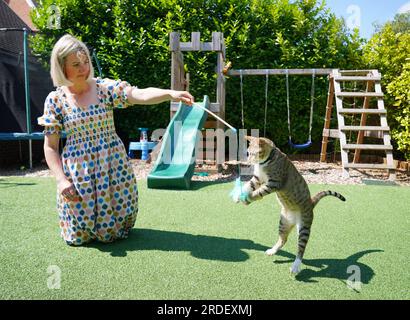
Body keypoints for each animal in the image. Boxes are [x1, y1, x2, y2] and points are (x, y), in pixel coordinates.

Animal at [237, 136, 346, 274]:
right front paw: (238, 196)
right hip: (284, 222)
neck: (265, 162)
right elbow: (249, 185)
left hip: (304, 226)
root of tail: (311, 202)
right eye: (248, 153)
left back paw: (295, 266)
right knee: (283, 239)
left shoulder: (274, 183)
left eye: (252, 153)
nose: (247, 162)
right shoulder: (258, 178)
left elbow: (258, 192)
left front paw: (248, 199)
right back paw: (273, 251)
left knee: (301, 249)